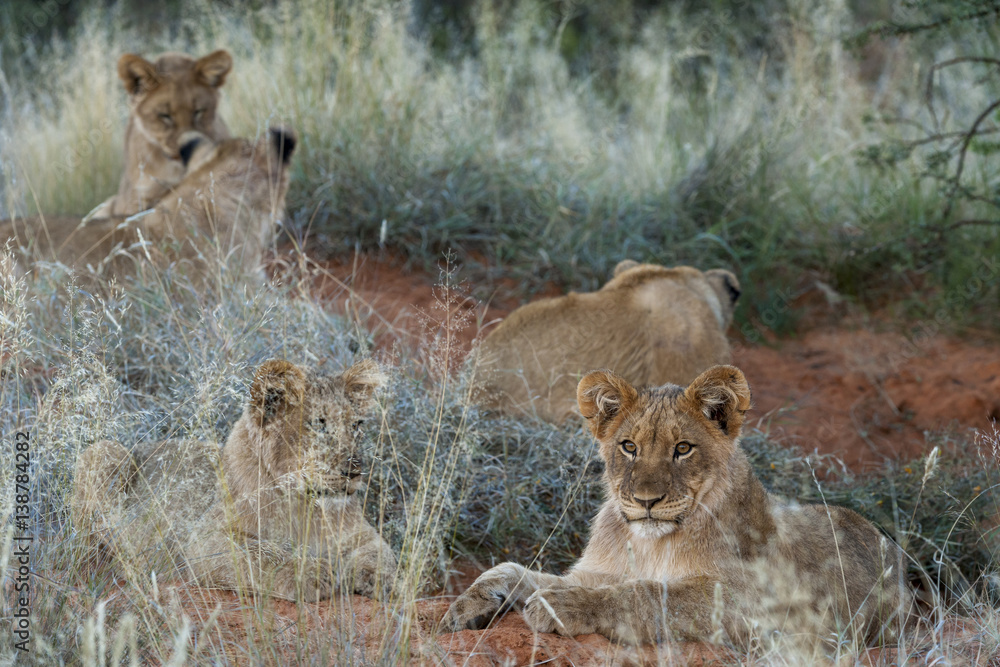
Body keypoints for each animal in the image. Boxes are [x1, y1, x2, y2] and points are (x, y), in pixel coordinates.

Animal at [71, 359, 396, 601]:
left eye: (356, 426)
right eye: (319, 425)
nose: (354, 470)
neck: (307, 507)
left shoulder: (361, 534)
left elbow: (381, 553)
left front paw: (383, 579)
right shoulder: (202, 540)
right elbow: (262, 553)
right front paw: (310, 573)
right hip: (102, 451)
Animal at [442, 365, 914, 647]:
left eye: (683, 449)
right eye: (628, 447)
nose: (646, 501)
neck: (649, 543)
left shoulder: (757, 603)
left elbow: (649, 592)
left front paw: (562, 606)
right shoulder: (596, 571)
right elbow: (513, 570)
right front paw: (467, 604)